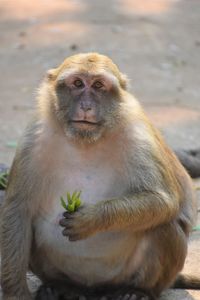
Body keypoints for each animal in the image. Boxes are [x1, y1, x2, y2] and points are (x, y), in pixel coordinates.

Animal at [0, 53, 198, 300]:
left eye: (98, 86)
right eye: (77, 83)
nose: (86, 106)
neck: (85, 141)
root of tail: (94, 288)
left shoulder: (138, 136)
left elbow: (163, 200)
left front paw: (91, 219)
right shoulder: (33, 138)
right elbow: (18, 209)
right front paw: (16, 293)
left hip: (125, 276)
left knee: (164, 226)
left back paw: (138, 290)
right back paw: (61, 286)